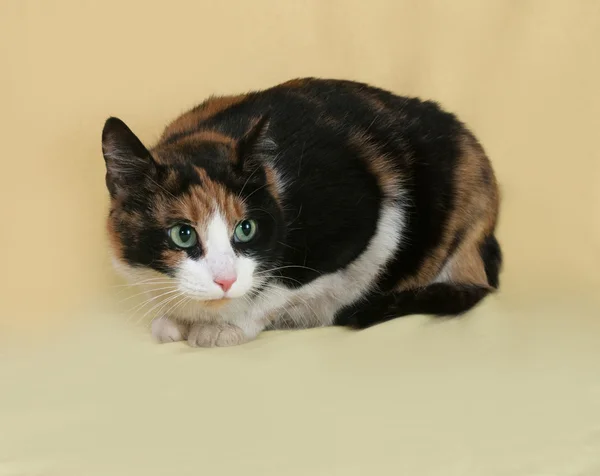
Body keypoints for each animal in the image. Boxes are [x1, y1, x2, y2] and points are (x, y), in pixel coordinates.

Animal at [103, 77, 502, 346]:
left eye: (246, 229)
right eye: (183, 234)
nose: (225, 281)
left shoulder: (363, 213)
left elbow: (286, 283)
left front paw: (225, 327)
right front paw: (173, 318)